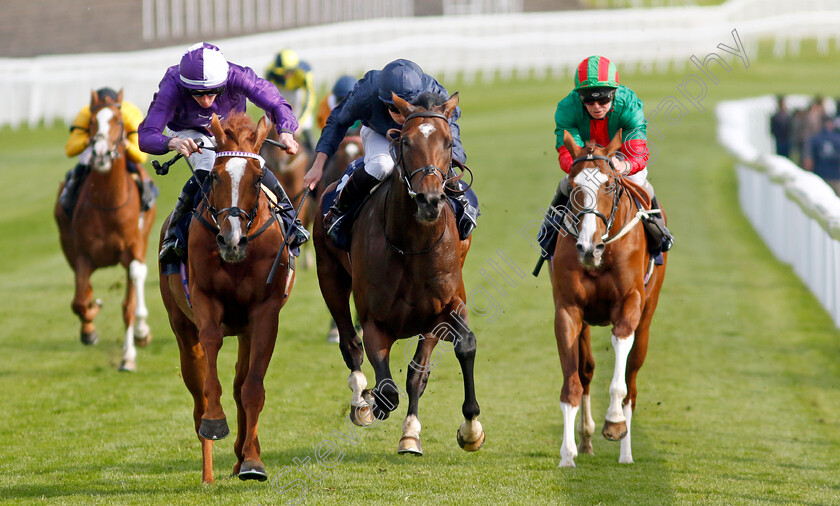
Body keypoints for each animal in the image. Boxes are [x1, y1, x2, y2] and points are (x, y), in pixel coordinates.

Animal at [54, 89, 156, 372]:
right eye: (91, 124)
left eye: (119, 122)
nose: (99, 154)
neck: (109, 204)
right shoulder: (83, 256)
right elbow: (79, 300)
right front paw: (89, 326)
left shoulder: (132, 249)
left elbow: (128, 304)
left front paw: (129, 355)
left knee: (138, 276)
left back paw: (142, 331)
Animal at [159, 110, 294, 482]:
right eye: (216, 177)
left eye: (258, 177)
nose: (231, 240)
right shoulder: (204, 299)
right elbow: (211, 351)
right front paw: (216, 422)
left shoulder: (265, 314)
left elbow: (252, 388)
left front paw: (252, 461)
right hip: (181, 328)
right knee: (197, 393)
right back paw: (208, 471)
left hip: (245, 331)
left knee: (240, 382)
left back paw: (242, 455)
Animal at [314, 93, 486, 456]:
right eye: (406, 141)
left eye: (448, 142)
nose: (430, 199)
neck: (412, 246)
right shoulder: (374, 321)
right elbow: (387, 388)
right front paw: (374, 402)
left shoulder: (443, 311)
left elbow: (443, 359)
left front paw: (466, 430)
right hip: (330, 277)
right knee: (350, 344)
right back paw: (361, 401)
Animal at [552, 129, 668, 466]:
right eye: (573, 186)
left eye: (609, 184)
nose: (588, 248)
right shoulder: (568, 309)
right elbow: (573, 382)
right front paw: (568, 454)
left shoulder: (630, 302)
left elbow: (621, 364)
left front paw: (614, 423)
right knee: (587, 370)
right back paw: (586, 439)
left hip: (647, 316)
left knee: (632, 381)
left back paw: (625, 452)